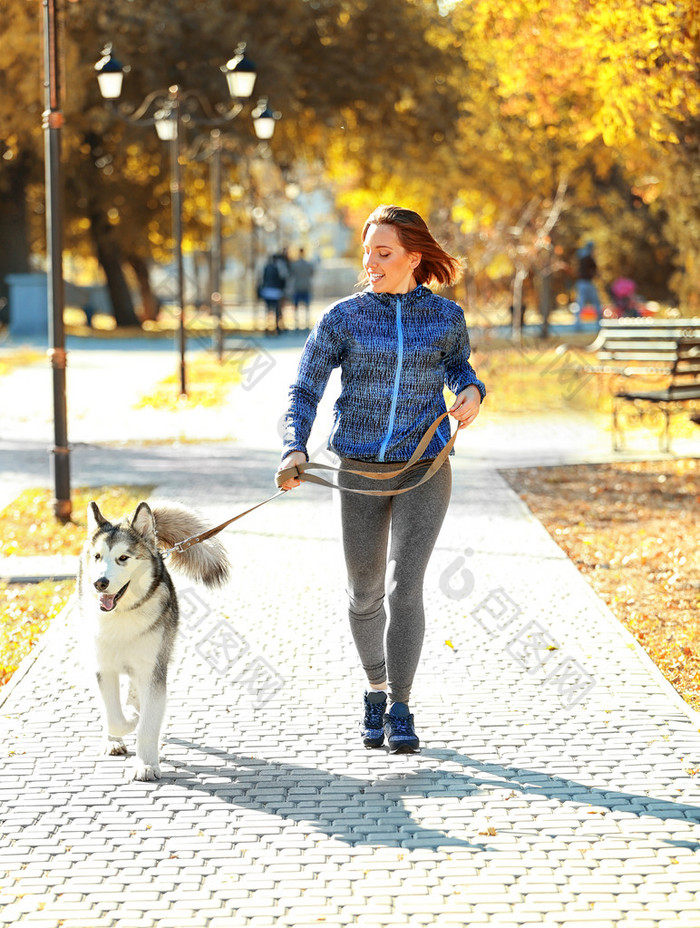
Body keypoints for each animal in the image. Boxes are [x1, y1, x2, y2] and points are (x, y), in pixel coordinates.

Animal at [78, 504, 230, 780]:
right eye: (97, 557)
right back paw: (114, 738)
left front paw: (146, 764)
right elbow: (113, 716)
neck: (122, 615)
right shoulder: (103, 667)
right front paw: (126, 723)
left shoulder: (153, 670)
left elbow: (147, 724)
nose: (99, 583)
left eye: (123, 558)